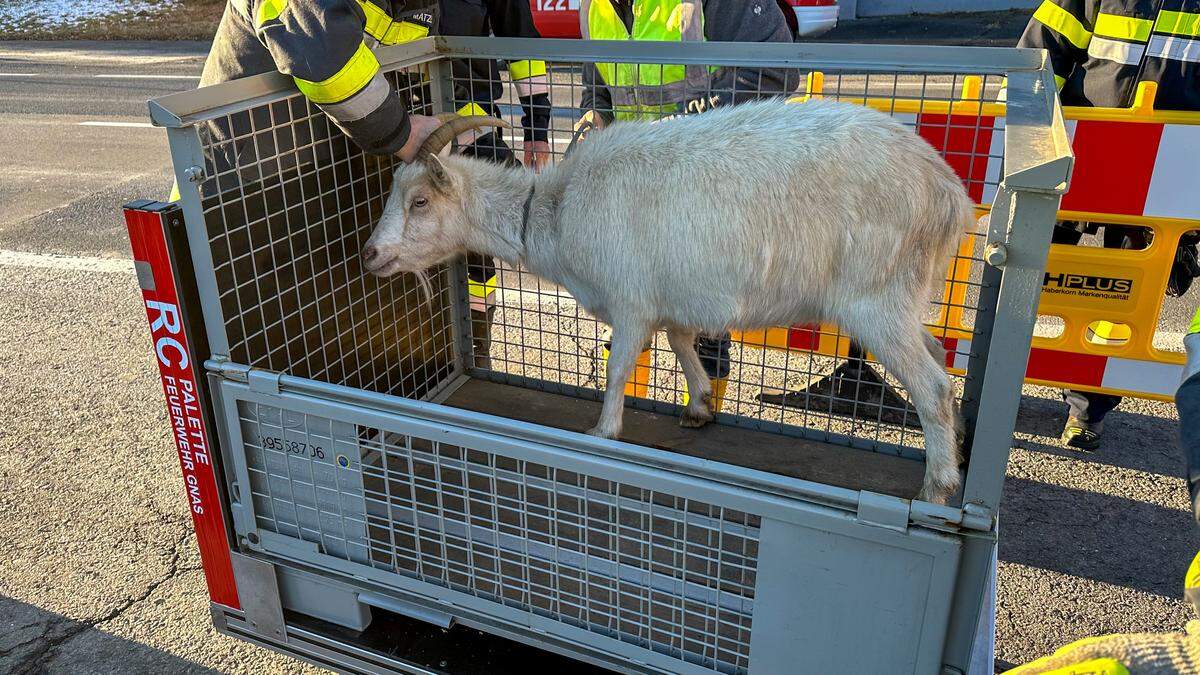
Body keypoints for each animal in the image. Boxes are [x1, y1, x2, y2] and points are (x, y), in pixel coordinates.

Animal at [362, 98, 974, 499]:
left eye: (419, 202)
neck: (557, 212)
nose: (369, 255)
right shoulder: (669, 297)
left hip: (875, 298)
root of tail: (950, 194)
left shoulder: (630, 299)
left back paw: (939, 485)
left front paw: (604, 431)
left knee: (934, 386)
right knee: (937, 354)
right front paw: (700, 406)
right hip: (904, 294)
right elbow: (682, 343)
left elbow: (617, 371)